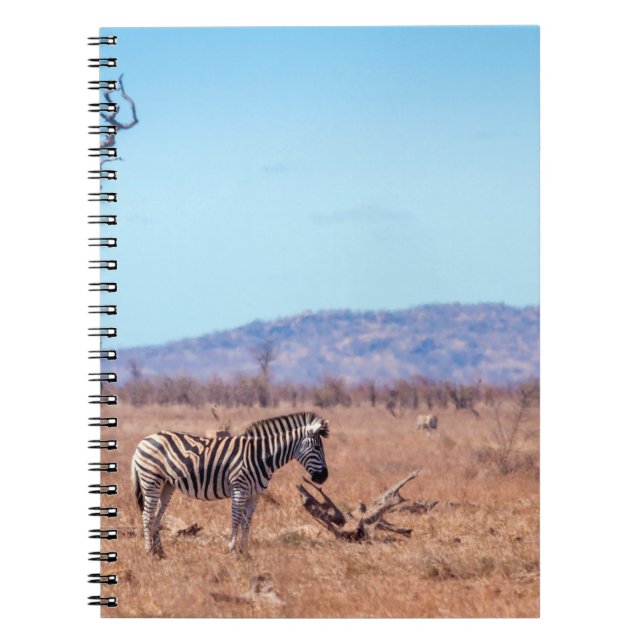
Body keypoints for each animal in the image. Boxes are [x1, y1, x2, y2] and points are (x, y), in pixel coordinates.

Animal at [131, 411, 329, 556]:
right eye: (316, 447)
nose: (324, 477)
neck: (260, 455)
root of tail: (143, 441)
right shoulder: (239, 489)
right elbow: (235, 519)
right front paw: (232, 550)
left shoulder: (255, 494)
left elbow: (247, 522)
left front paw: (244, 552)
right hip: (151, 480)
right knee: (147, 516)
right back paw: (149, 552)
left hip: (166, 484)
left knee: (157, 517)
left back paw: (160, 553)